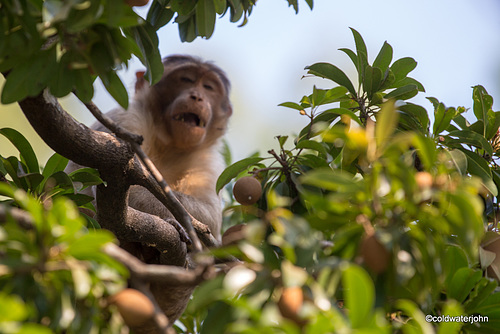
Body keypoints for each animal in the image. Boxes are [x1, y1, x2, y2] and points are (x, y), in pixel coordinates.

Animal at [65, 54, 233, 326]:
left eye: (208, 87)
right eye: (186, 80)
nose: (197, 96)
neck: (170, 145)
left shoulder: (210, 163)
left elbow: (211, 217)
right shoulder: (125, 118)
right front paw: (175, 223)